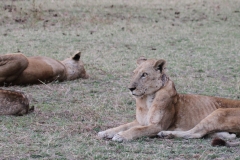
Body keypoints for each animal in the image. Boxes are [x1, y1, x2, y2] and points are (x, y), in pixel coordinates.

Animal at [97, 56, 240, 146]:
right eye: (134, 73)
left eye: (144, 74)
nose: (130, 88)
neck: (147, 99)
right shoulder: (140, 121)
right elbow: (122, 126)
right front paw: (105, 132)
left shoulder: (157, 125)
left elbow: (136, 130)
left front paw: (121, 136)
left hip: (219, 112)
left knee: (196, 133)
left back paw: (166, 134)